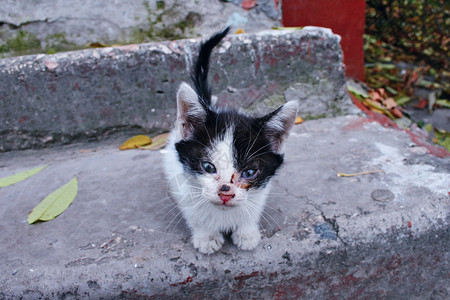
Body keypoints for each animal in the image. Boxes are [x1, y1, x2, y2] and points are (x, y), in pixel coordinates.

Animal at [163, 27, 298, 254]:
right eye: (208, 167)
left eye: (249, 172)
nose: (225, 193)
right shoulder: (180, 182)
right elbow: (194, 214)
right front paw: (206, 236)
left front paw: (247, 232)